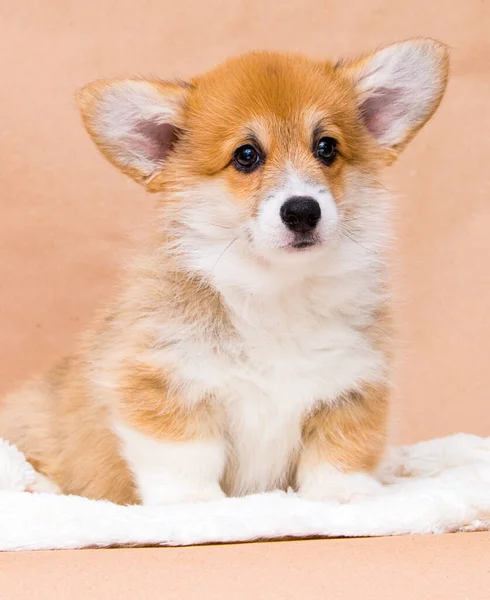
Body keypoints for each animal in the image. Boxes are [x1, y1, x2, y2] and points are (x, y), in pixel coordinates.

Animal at [0, 37, 450, 504]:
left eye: (326, 147)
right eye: (246, 156)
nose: (302, 211)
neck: (276, 292)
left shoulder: (353, 388)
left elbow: (340, 454)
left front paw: (342, 498)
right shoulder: (163, 383)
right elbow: (186, 459)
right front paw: (195, 505)